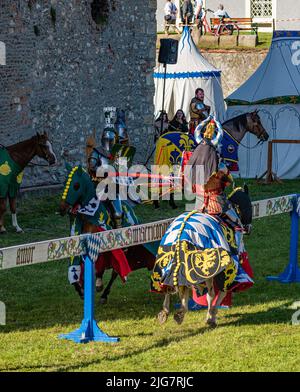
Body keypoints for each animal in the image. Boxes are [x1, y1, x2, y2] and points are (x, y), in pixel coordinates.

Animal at [58, 165, 157, 304]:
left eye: (76, 185)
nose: (62, 208)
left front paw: (97, 284)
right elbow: (76, 265)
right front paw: (80, 289)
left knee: (115, 271)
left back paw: (104, 293)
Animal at [152, 185, 253, 326]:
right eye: (249, 206)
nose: (248, 228)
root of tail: (181, 234)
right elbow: (218, 292)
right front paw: (211, 316)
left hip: (170, 263)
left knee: (170, 286)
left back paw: (169, 313)